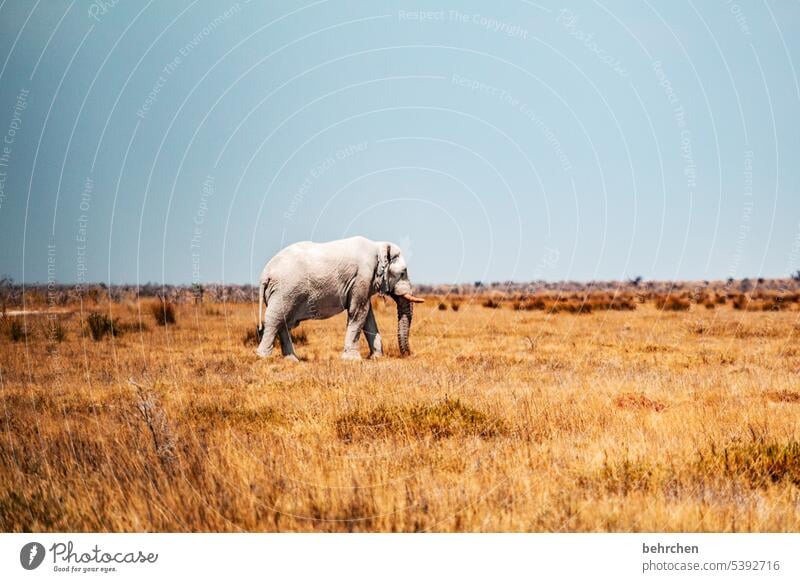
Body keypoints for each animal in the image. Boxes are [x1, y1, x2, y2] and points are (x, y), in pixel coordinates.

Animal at [256, 237, 424, 360]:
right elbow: (359, 312)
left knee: (283, 322)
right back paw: (263, 357)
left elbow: (367, 316)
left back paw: (292, 360)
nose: (409, 354)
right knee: (275, 320)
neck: (377, 246)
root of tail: (265, 273)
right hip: (285, 290)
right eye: (403, 273)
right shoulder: (362, 276)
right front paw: (352, 360)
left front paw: (376, 358)